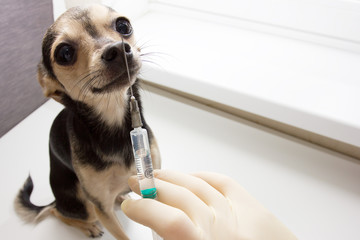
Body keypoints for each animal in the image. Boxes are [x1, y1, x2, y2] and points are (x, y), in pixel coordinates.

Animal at [14, 4, 160, 240]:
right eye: (64, 53)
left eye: (123, 25)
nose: (118, 49)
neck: (115, 128)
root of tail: (56, 199)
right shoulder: (102, 208)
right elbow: (122, 235)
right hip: (85, 205)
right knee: (57, 212)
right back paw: (87, 226)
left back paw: (121, 196)